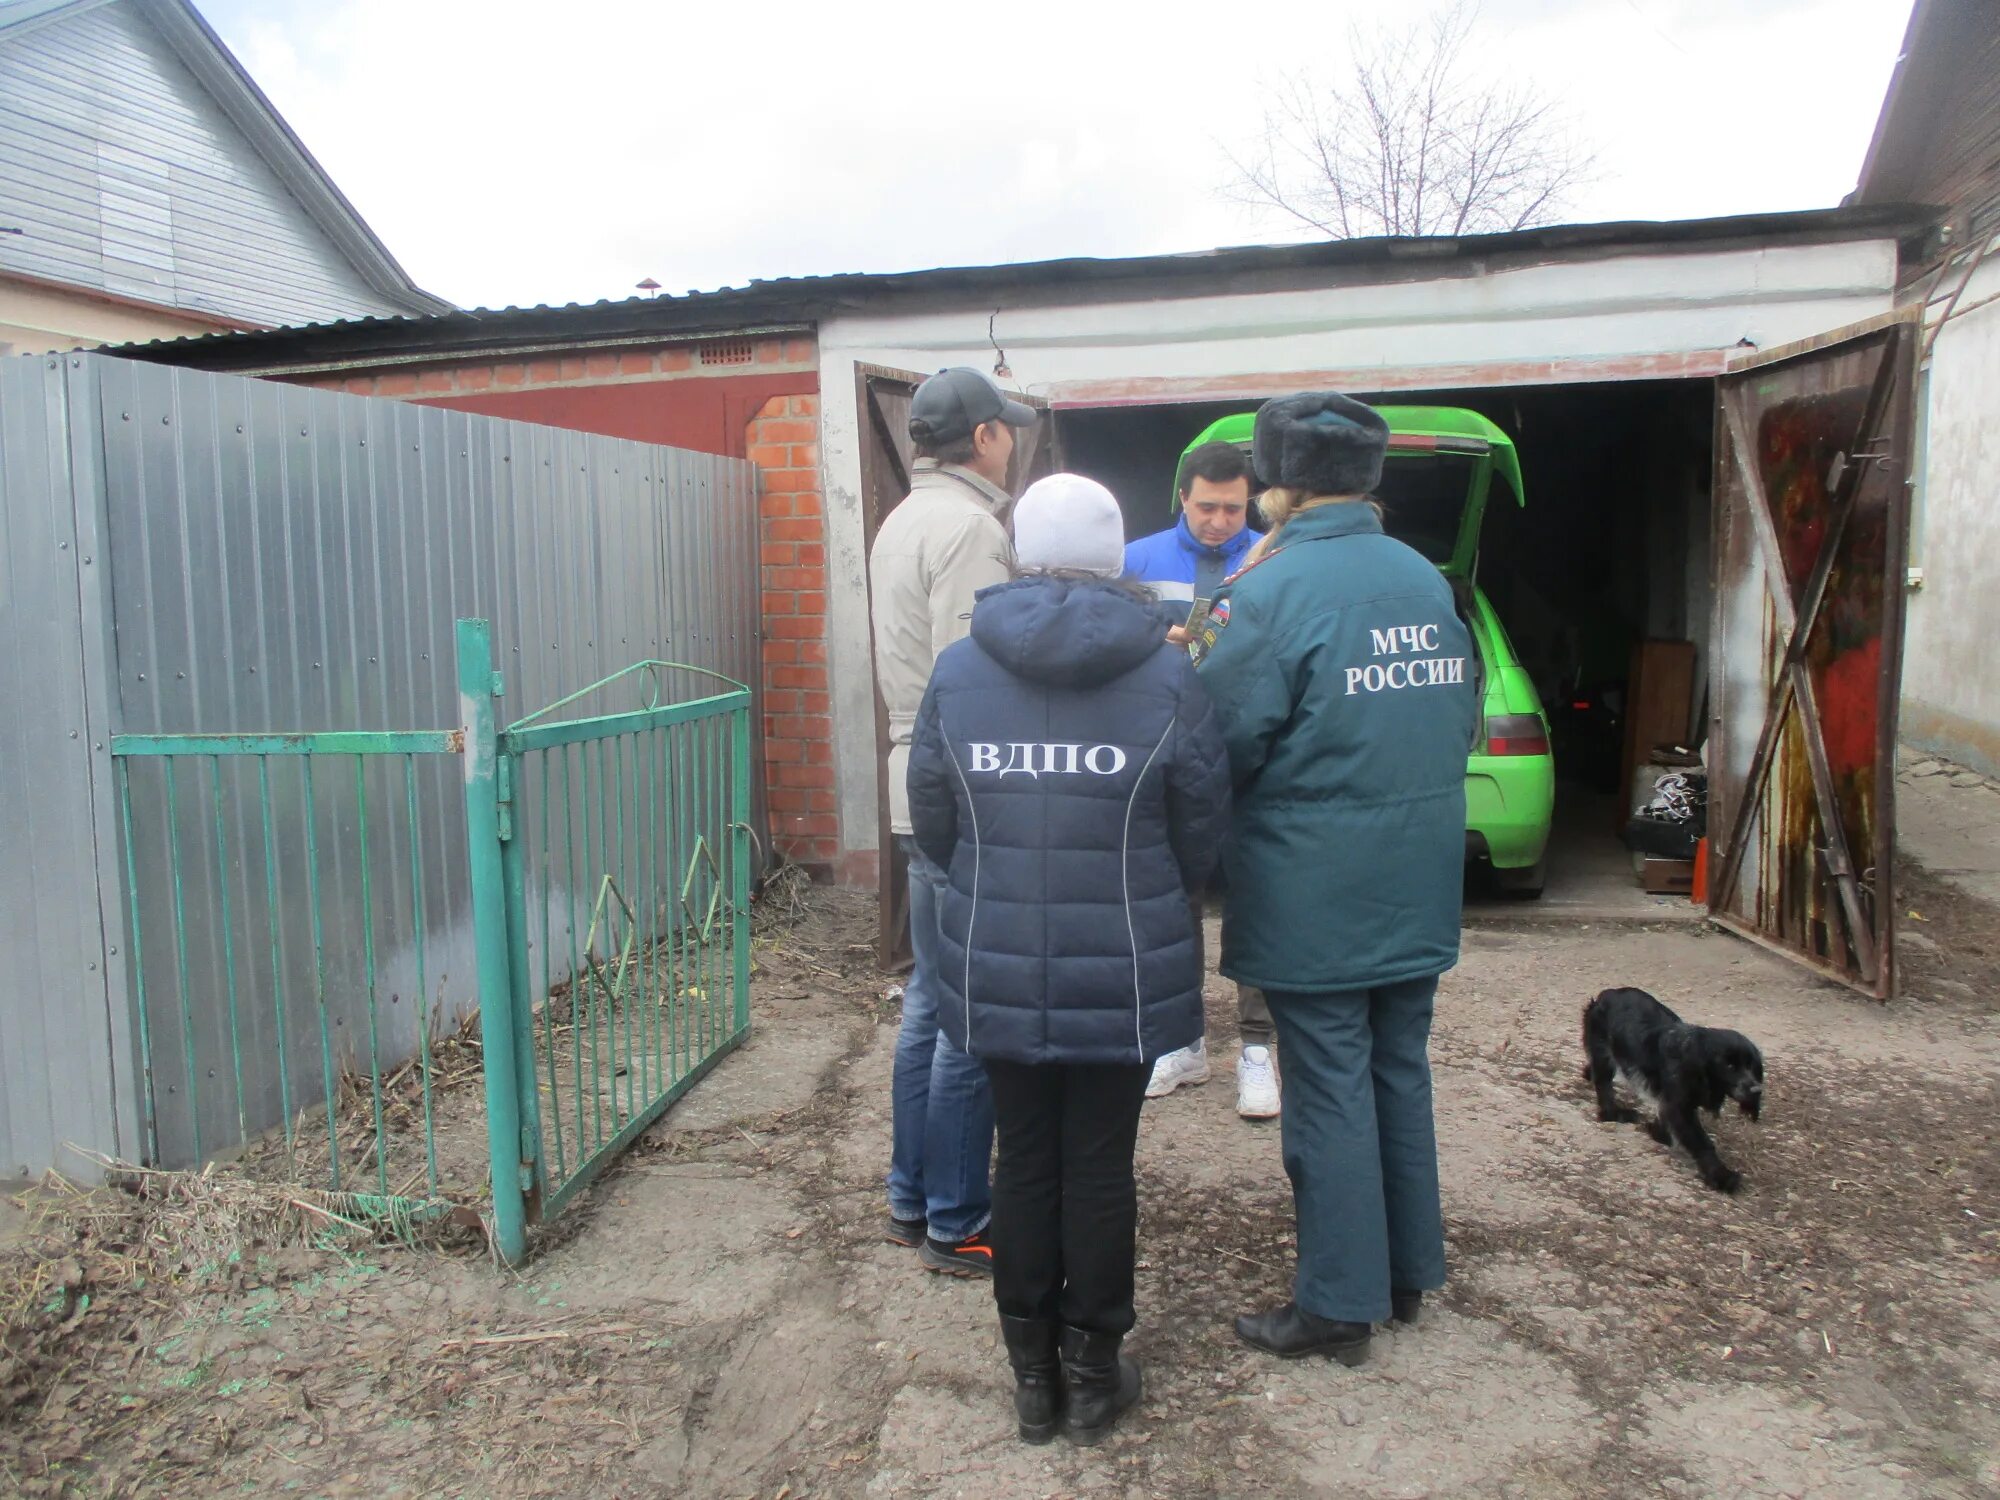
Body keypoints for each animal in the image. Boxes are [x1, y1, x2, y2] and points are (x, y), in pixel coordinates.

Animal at [1576, 988, 1768, 1200]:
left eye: (1751, 1066)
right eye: (1730, 1066)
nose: (1756, 1090)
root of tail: (1607, 993)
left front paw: (1659, 1133)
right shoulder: (1680, 1106)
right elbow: (1702, 1141)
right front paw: (1720, 1175)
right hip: (1603, 1052)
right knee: (1604, 1088)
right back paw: (1615, 1113)